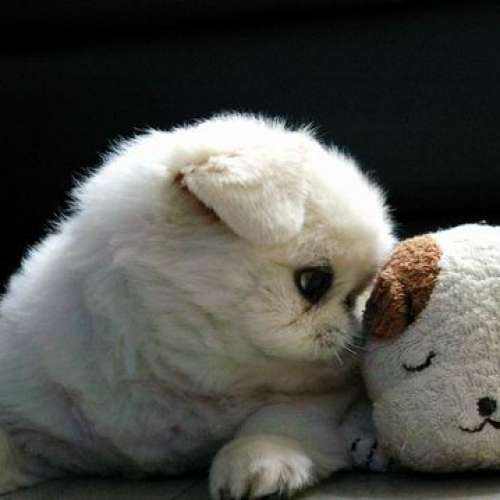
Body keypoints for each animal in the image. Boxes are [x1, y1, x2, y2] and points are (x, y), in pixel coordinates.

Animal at [0, 114, 393, 498]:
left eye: (367, 285)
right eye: (314, 282)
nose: (362, 309)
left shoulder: (322, 399)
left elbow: (277, 420)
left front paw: (256, 462)